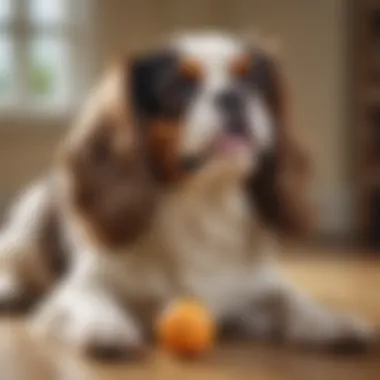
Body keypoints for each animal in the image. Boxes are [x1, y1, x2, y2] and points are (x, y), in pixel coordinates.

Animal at [0, 31, 376, 356]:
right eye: (179, 87)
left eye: (252, 83)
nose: (233, 95)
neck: (204, 203)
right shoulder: (75, 290)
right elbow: (88, 299)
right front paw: (104, 326)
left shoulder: (251, 289)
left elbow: (288, 299)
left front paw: (333, 322)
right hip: (28, 221)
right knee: (14, 260)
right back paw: (9, 290)